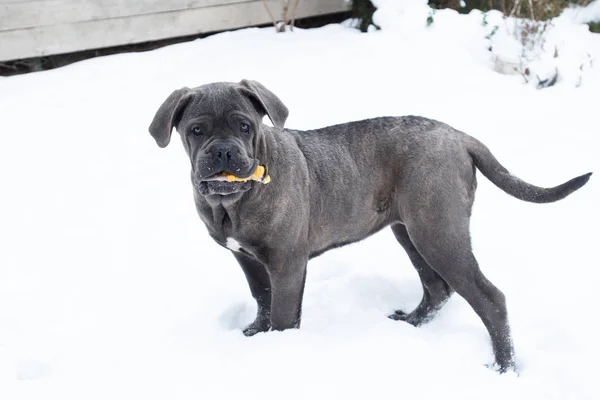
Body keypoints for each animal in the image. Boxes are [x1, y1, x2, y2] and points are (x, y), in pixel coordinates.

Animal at [149, 79, 592, 374]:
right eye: (196, 130)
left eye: (245, 126)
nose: (224, 152)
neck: (233, 202)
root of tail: (459, 137)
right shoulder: (249, 260)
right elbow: (262, 298)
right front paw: (255, 334)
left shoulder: (287, 263)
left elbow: (283, 314)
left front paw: (278, 352)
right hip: (410, 231)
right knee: (437, 288)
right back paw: (411, 324)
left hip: (437, 231)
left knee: (489, 298)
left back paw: (503, 368)